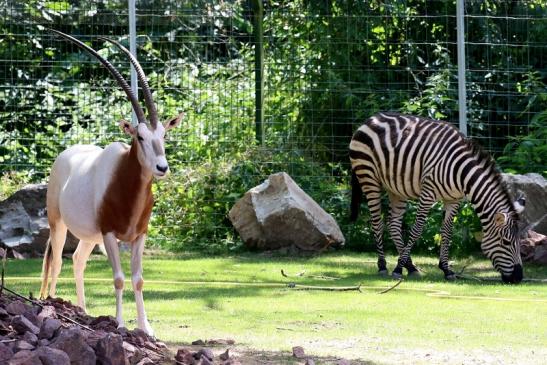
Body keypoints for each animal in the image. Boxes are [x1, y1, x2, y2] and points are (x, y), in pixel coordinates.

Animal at [352, 112, 528, 282]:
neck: (461, 172)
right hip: (368, 178)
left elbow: (447, 231)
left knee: (393, 224)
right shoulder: (428, 193)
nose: (518, 277)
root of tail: (371, 119)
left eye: (519, 242)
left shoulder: (454, 199)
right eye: (506, 242)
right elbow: (417, 230)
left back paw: (411, 267)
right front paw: (397, 269)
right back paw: (383, 266)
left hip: (396, 189)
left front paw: (446, 269)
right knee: (377, 223)